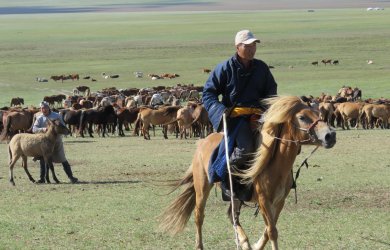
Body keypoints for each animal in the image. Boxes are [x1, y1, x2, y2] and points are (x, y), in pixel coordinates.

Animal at [160, 96, 336, 250]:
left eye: (318, 113)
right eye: (302, 117)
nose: (330, 135)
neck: (275, 165)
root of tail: (203, 141)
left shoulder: (279, 201)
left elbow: (268, 230)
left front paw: (256, 245)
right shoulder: (264, 200)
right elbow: (272, 231)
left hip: (235, 196)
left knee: (232, 215)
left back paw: (244, 243)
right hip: (202, 187)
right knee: (199, 216)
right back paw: (200, 245)